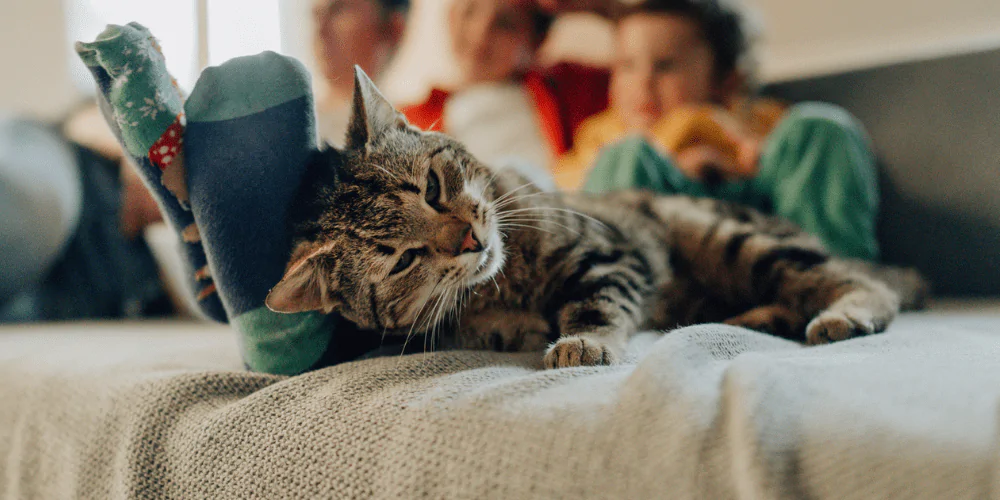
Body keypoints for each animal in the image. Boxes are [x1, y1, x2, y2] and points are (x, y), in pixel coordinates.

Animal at [264, 68, 920, 370]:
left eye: (430, 187)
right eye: (403, 259)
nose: (470, 239)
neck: (507, 281)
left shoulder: (612, 254)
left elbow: (597, 303)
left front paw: (582, 340)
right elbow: (479, 327)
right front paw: (516, 328)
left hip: (724, 236)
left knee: (856, 281)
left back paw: (845, 312)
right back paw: (752, 317)